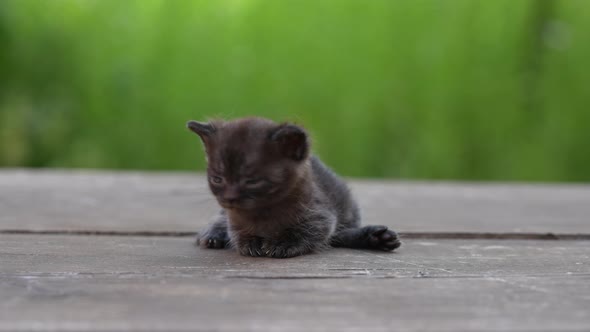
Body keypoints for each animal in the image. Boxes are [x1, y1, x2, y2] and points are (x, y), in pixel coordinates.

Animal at [188, 118, 402, 258]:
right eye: (217, 179)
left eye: (251, 181)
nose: (229, 198)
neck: (264, 213)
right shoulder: (235, 219)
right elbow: (238, 232)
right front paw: (249, 242)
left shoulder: (321, 216)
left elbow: (310, 232)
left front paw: (285, 243)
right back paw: (213, 234)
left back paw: (376, 238)